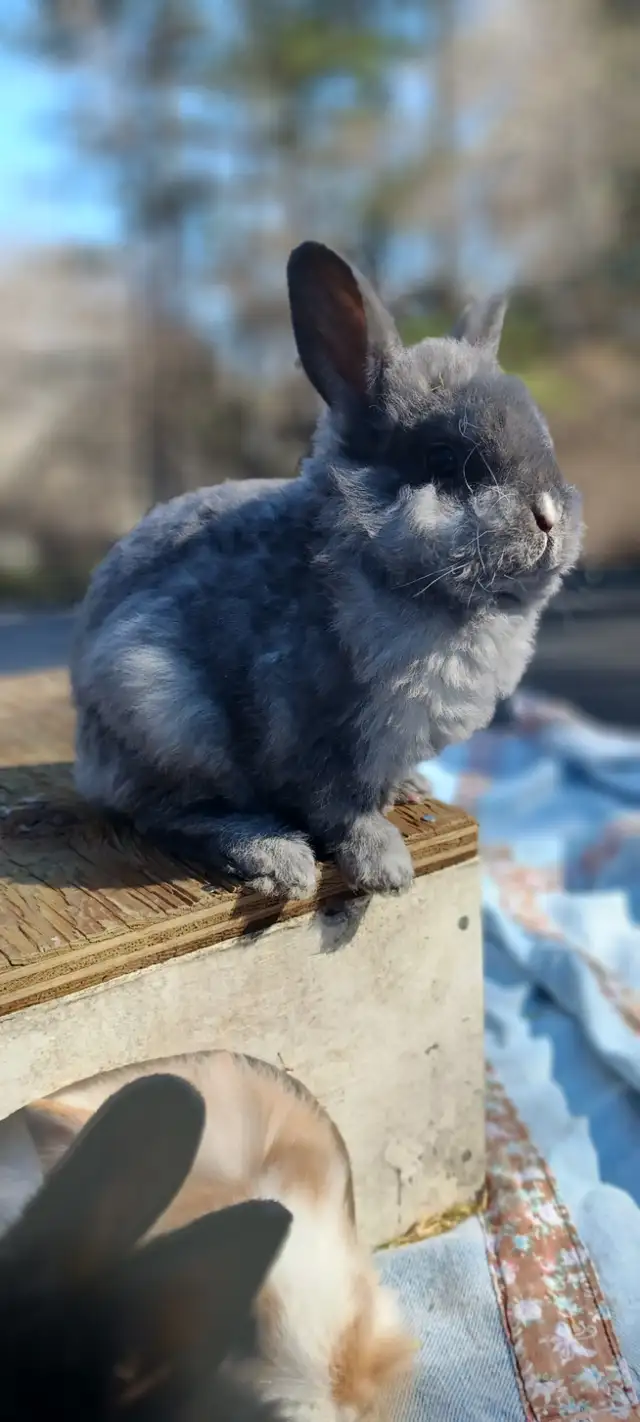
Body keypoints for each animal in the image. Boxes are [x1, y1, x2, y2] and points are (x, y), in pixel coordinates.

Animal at [71, 240, 583, 899]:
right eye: (443, 460)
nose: (548, 518)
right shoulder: (315, 733)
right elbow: (341, 809)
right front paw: (386, 869)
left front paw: (406, 797)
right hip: (157, 705)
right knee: (164, 814)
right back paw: (274, 856)